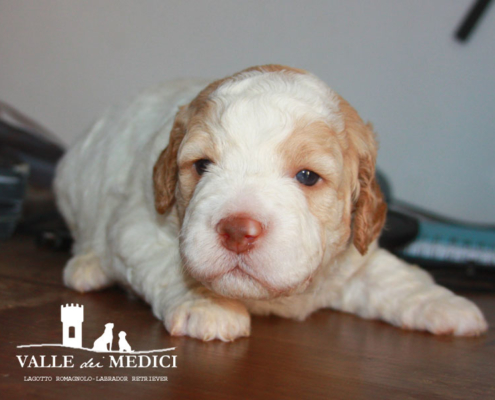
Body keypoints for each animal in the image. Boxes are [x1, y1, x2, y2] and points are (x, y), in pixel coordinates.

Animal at [56, 65, 490, 340]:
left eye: (307, 176)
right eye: (202, 165)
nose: (237, 231)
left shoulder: (353, 257)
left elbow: (392, 276)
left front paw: (446, 306)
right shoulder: (138, 226)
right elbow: (171, 263)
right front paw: (208, 306)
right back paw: (87, 267)